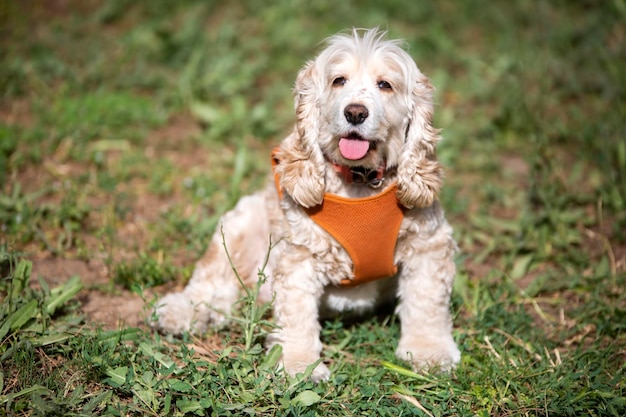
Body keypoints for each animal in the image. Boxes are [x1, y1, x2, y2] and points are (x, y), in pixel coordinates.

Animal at [152, 28, 458, 380]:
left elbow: (426, 303)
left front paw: (430, 352)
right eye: (338, 80)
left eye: (385, 84)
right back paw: (182, 312)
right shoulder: (299, 255)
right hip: (239, 223)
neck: (359, 181)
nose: (355, 112)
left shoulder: (429, 245)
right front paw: (299, 365)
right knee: (211, 280)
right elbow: (296, 314)